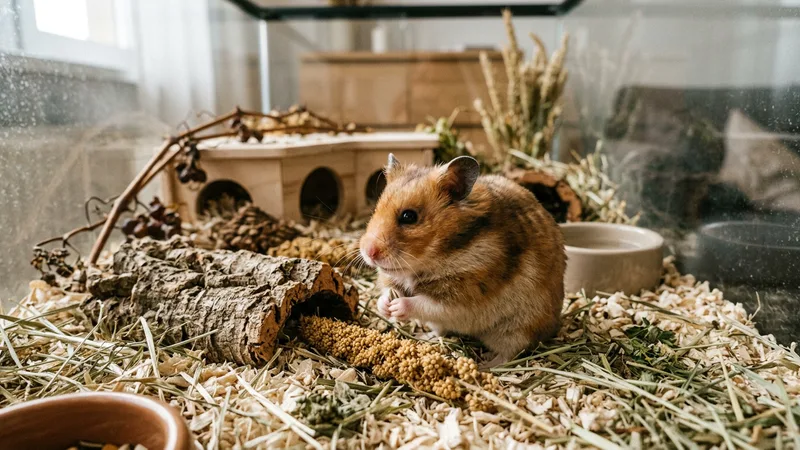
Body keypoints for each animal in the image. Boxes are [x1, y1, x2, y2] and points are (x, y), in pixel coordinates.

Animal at [359, 154, 567, 368]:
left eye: (409, 216)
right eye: (376, 209)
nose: (368, 252)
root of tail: (554, 325)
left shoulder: (462, 299)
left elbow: (423, 304)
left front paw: (397, 307)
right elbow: (387, 292)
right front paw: (385, 306)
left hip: (518, 328)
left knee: (511, 353)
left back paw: (486, 364)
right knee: (441, 331)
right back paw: (427, 337)